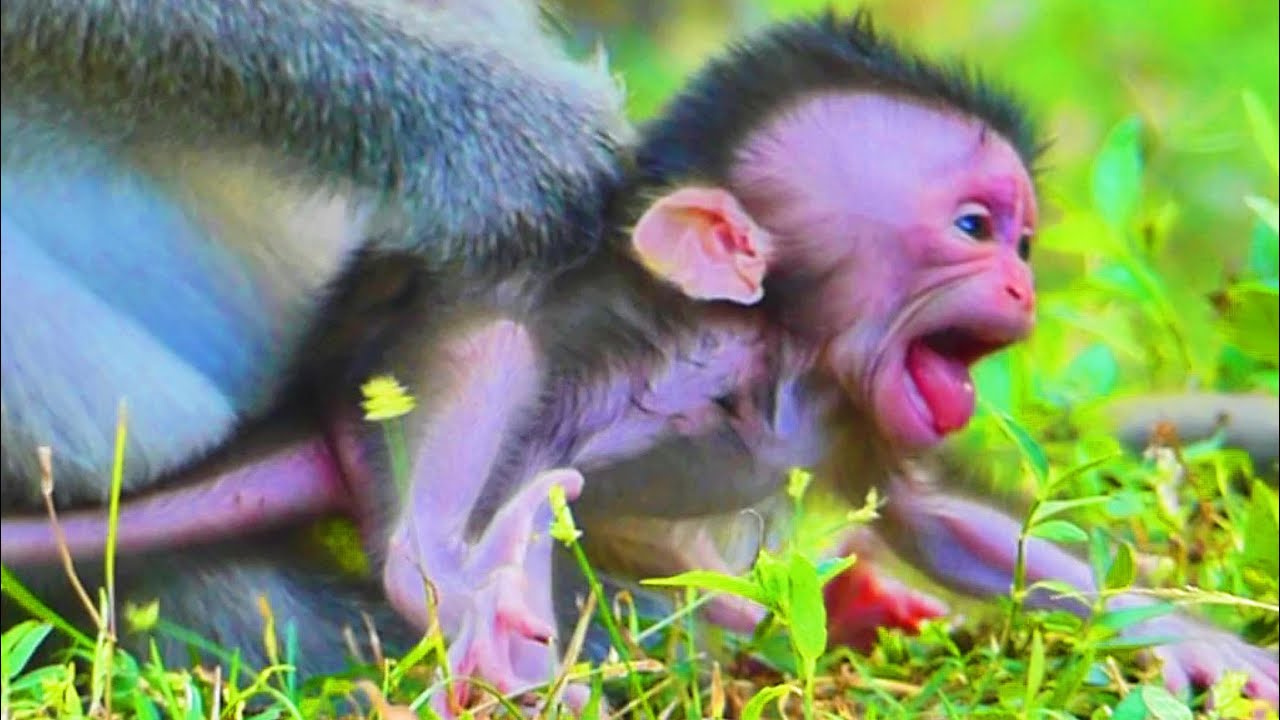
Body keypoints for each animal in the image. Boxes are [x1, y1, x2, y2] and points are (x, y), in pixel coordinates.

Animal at [4, 8, 1277, 713]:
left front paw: (1196, 642)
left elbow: (942, 520)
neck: (787, 362)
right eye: (973, 227)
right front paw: (456, 579)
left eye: (1018, 236)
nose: (1021, 282)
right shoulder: (671, 350)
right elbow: (493, 338)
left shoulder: (855, 417)